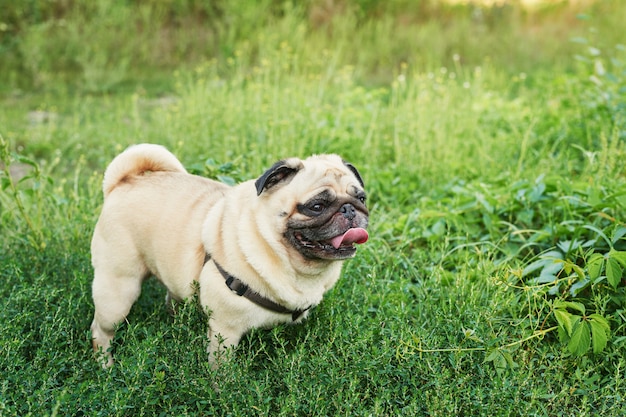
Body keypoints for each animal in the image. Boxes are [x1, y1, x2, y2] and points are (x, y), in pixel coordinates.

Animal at [90, 145, 368, 366]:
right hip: (118, 291)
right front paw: (223, 391)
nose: (349, 209)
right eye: (317, 206)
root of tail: (125, 181)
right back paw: (106, 366)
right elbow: (222, 370)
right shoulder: (225, 331)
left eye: (362, 198)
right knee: (101, 330)